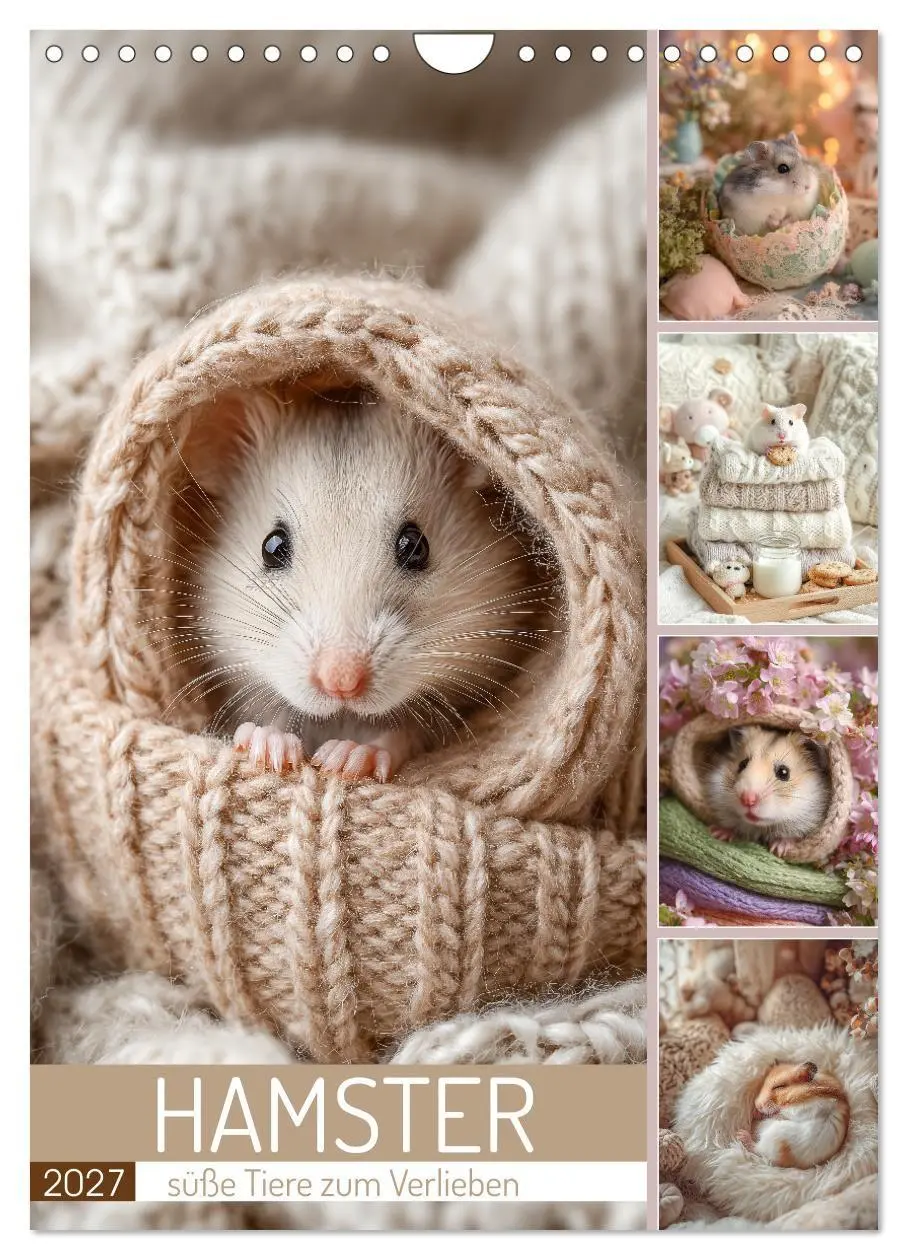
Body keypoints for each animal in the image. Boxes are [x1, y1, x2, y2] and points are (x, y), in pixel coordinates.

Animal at [178, 390, 555, 782]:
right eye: (272, 546)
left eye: (415, 545)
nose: (341, 683)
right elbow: (271, 715)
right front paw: (268, 748)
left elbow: (404, 731)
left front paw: (345, 759)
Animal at [704, 725, 831, 857]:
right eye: (742, 764)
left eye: (784, 772)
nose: (747, 800)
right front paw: (716, 833)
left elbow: (792, 835)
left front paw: (778, 849)